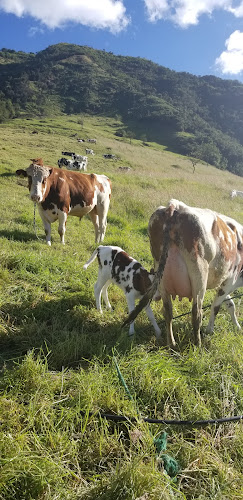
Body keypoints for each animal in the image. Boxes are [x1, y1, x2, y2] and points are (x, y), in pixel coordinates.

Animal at [124, 199, 242, 348]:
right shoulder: (229, 281)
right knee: (196, 313)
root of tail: (176, 206)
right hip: (199, 275)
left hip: (160, 272)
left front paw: (236, 326)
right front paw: (210, 330)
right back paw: (197, 345)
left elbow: (229, 304)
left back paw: (172, 343)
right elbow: (216, 306)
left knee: (167, 311)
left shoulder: (222, 283)